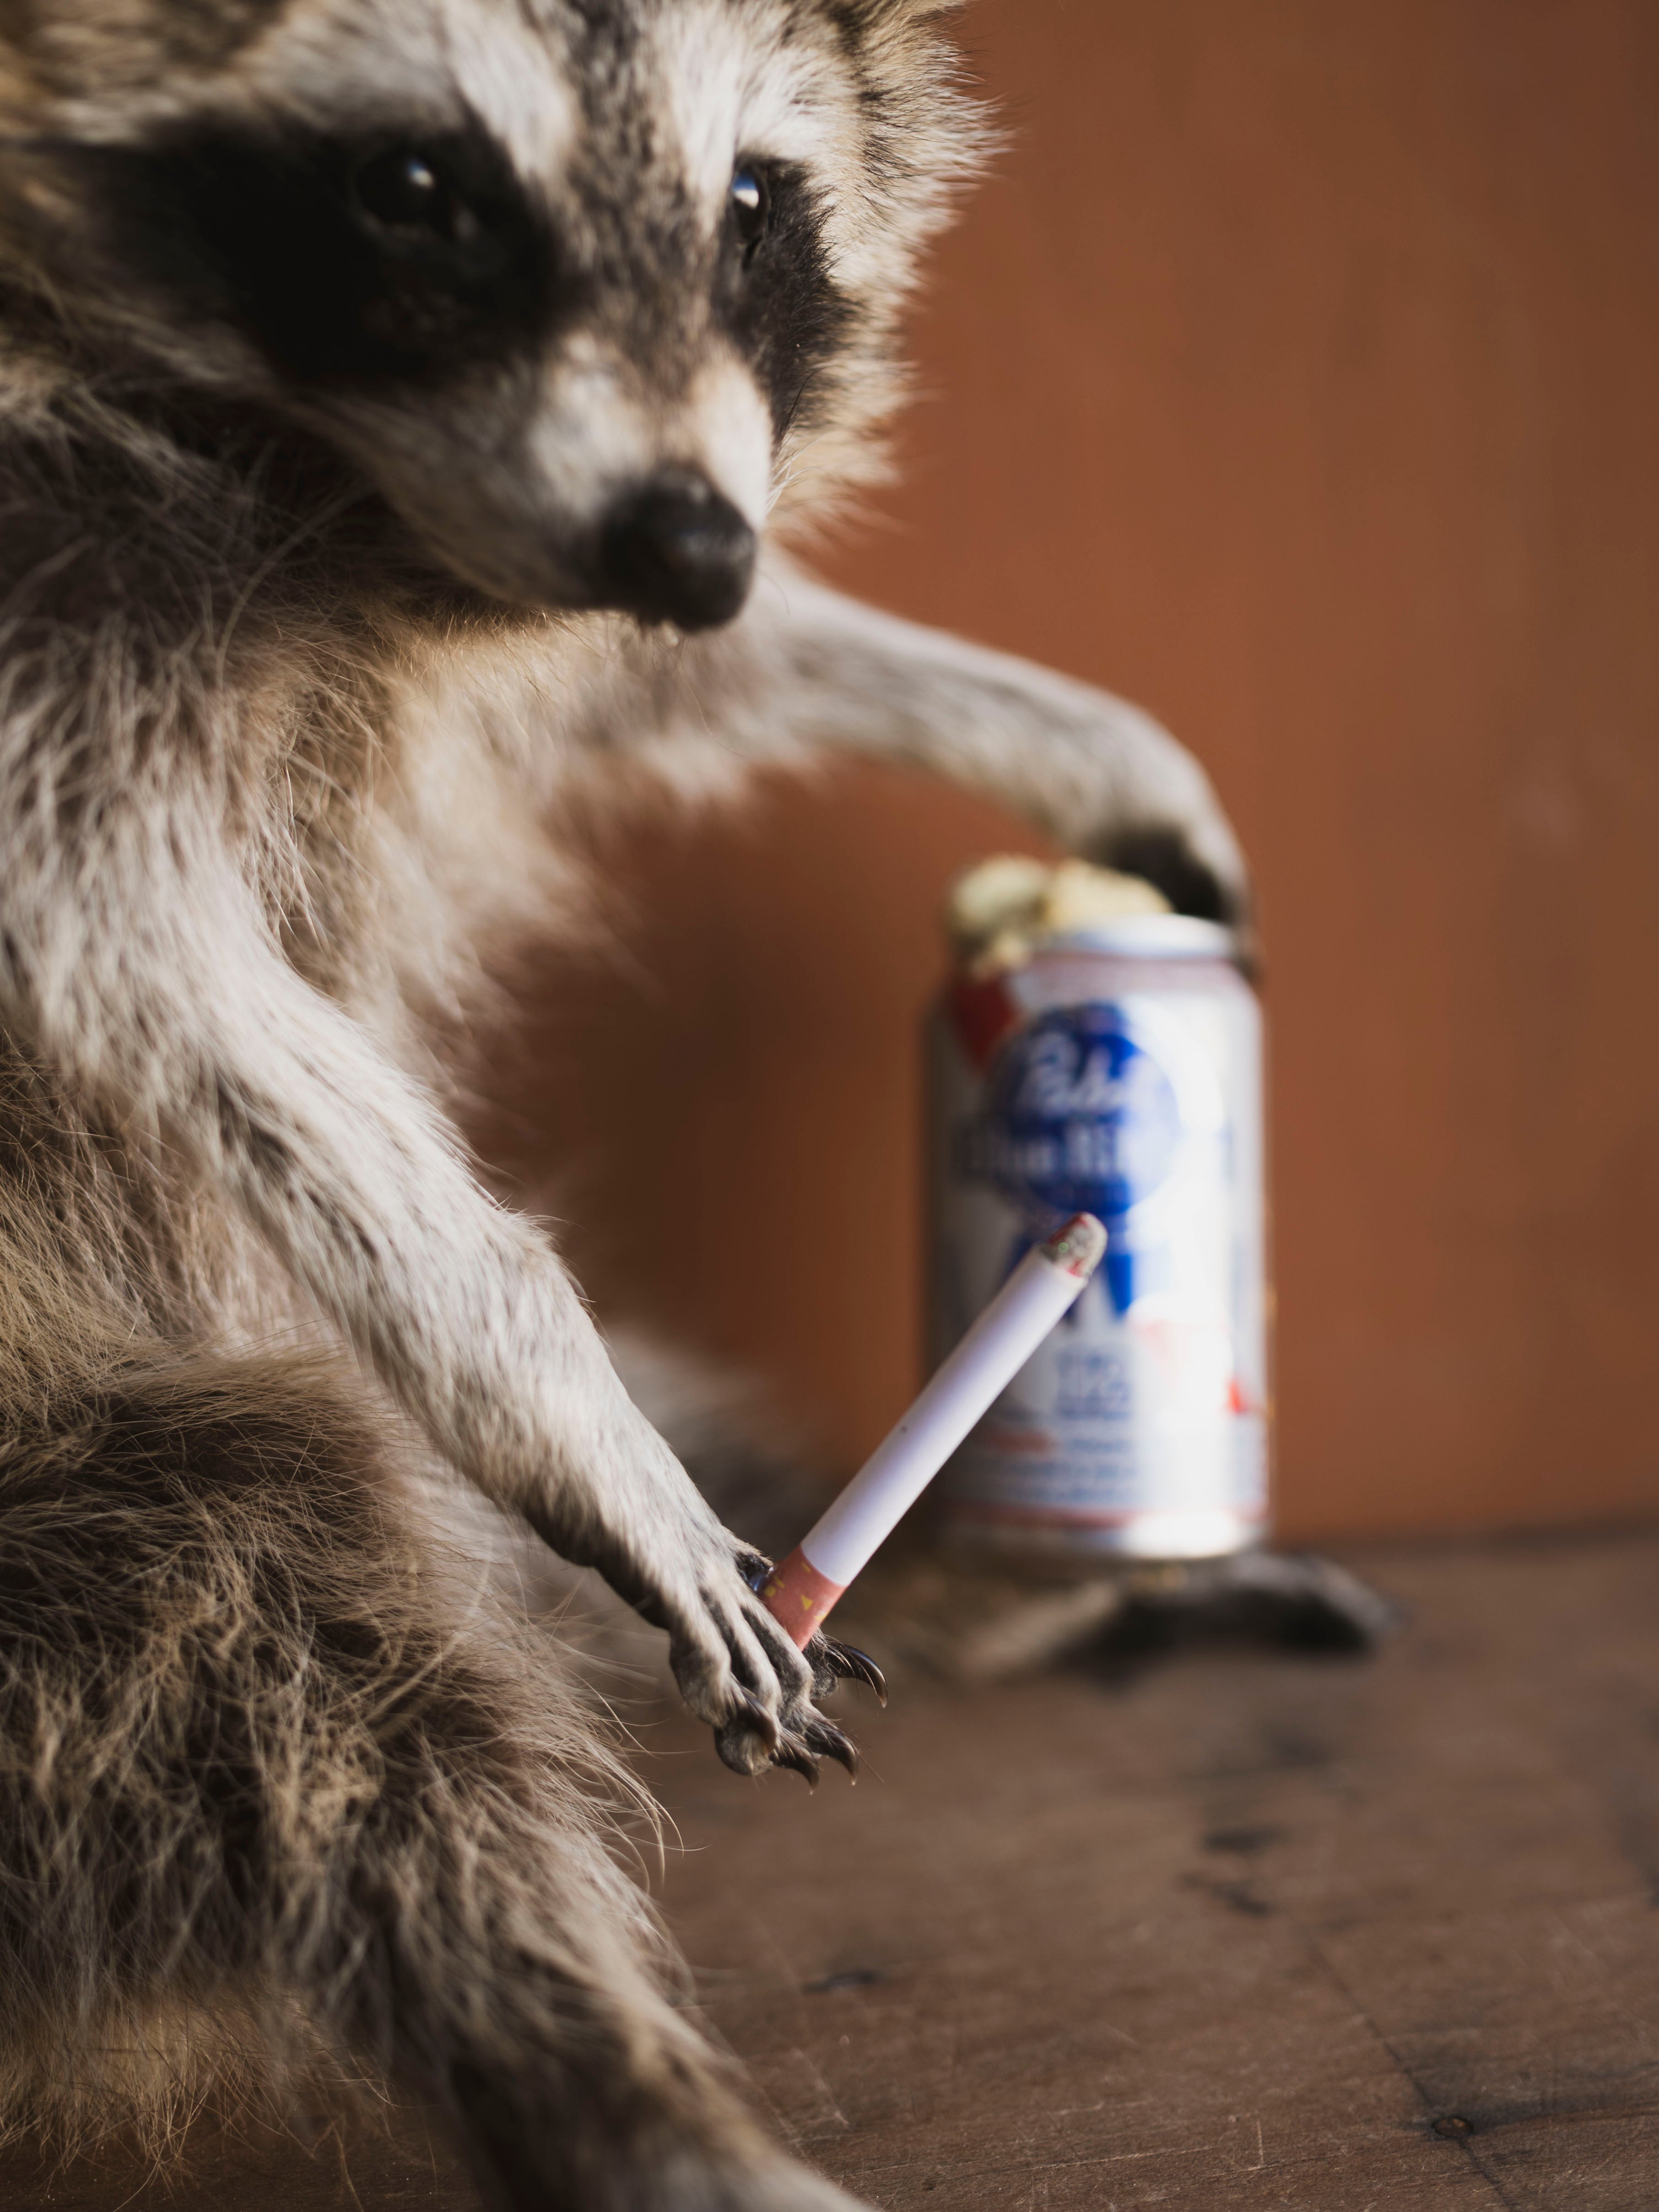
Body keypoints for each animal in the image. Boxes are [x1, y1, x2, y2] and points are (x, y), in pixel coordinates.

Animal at [0, 0, 1245, 2203]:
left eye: (753, 200)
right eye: (416, 186)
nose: (686, 542)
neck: (316, 458)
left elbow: (665, 673)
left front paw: (1053, 729)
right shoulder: (38, 570)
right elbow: (134, 953)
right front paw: (547, 1386)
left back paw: (947, 1568)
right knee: (281, 1619)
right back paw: (612, 2075)